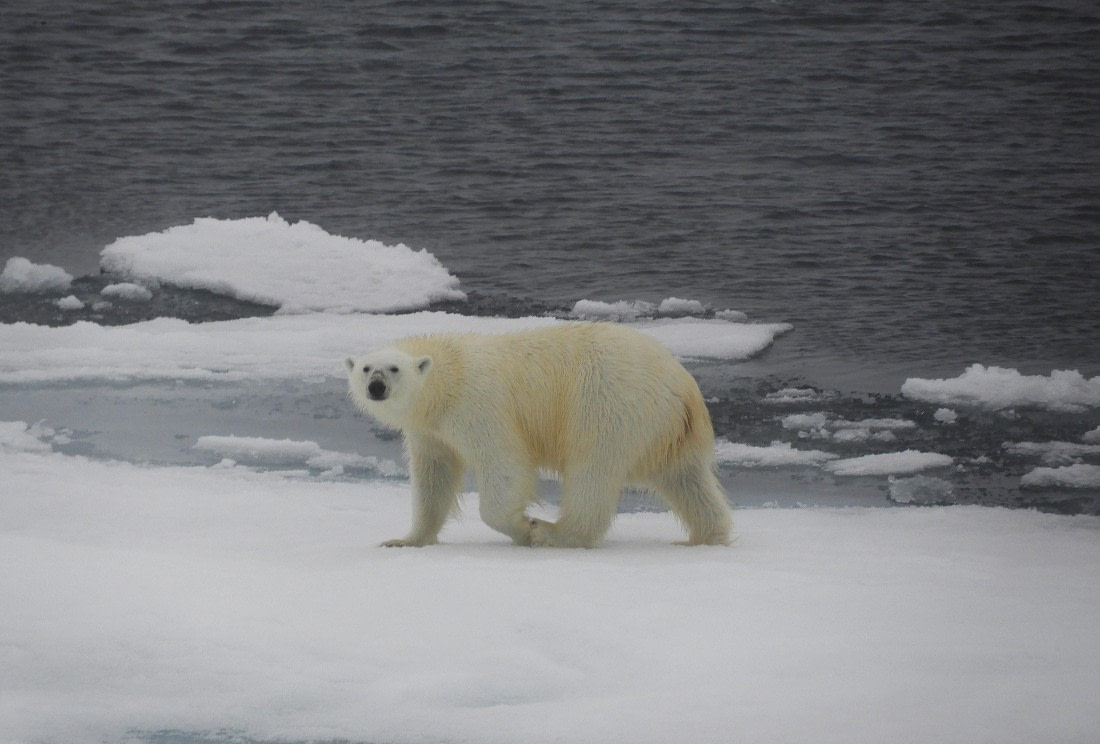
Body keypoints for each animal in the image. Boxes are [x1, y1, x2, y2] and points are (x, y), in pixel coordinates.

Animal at [345, 323, 731, 548]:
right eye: (365, 368)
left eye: (393, 368)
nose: (376, 387)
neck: (448, 377)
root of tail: (683, 383)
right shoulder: (430, 430)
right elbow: (433, 478)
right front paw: (405, 540)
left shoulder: (478, 405)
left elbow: (503, 463)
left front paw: (525, 527)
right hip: (668, 429)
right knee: (686, 478)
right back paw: (706, 536)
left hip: (606, 403)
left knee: (591, 470)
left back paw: (554, 533)